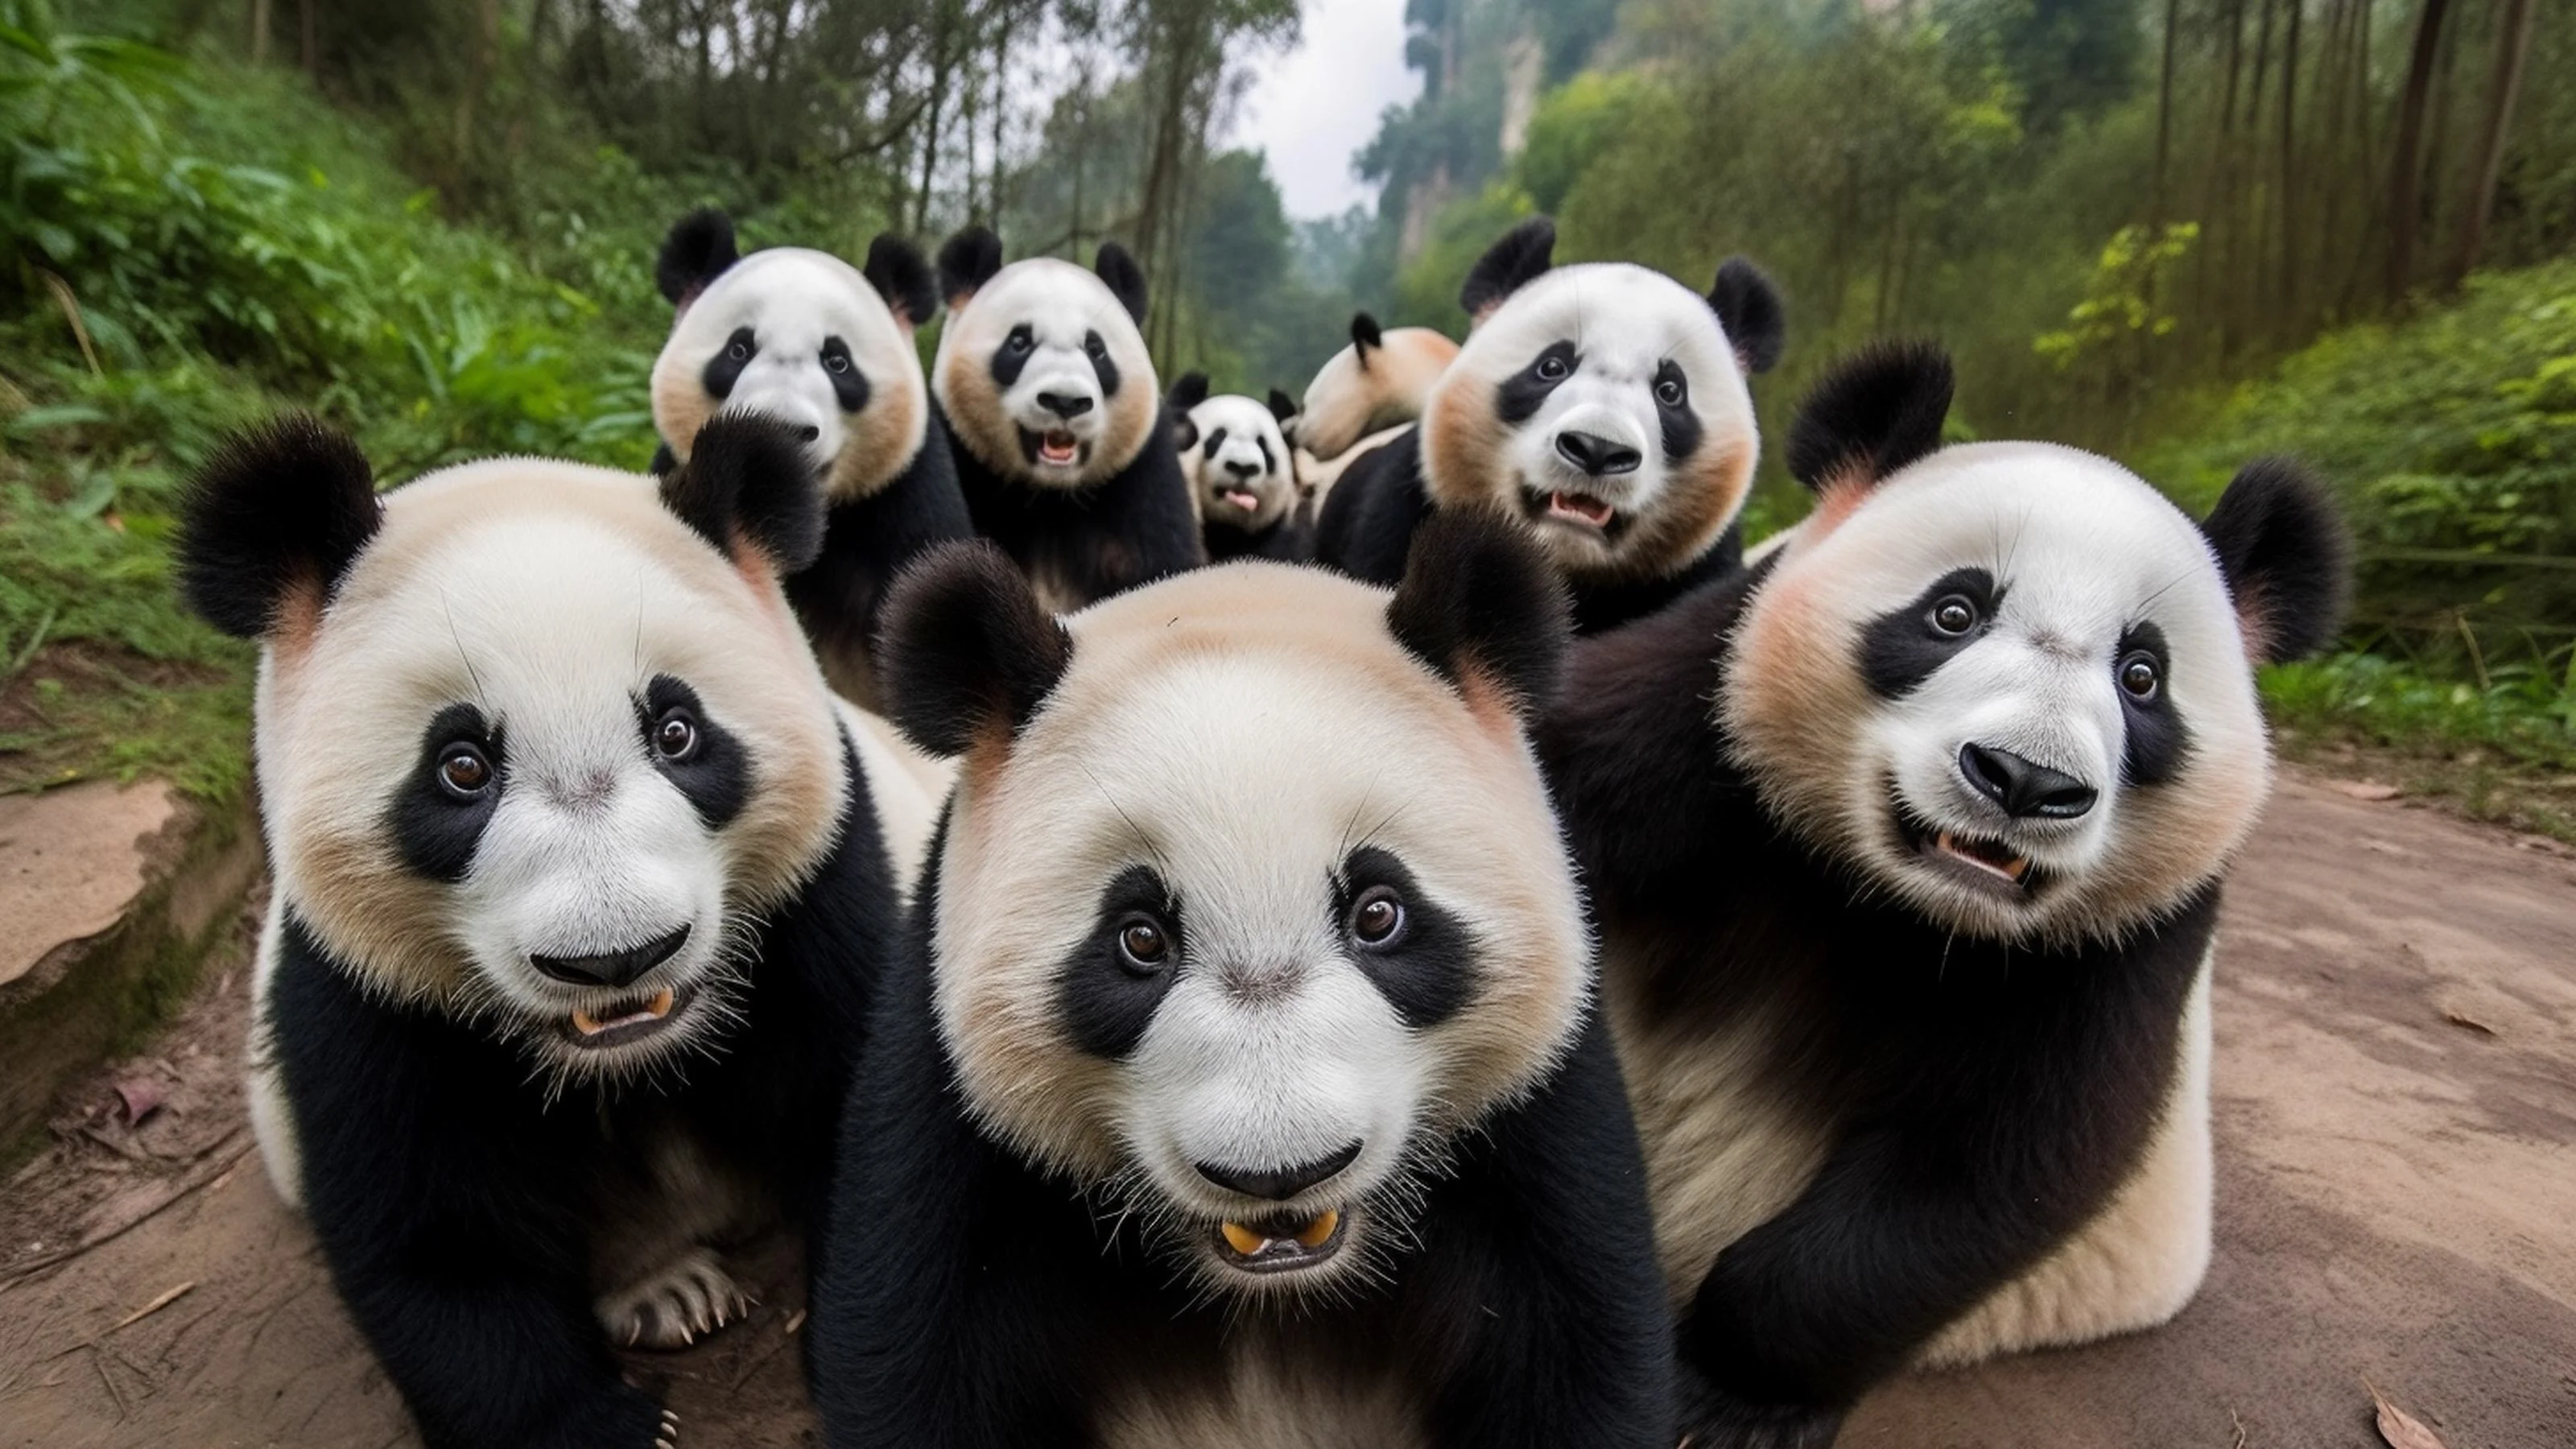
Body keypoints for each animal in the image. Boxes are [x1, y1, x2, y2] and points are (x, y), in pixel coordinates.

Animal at [181, 413, 942, 1449]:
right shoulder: (356, 980)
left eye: (676, 731)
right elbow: (436, 1232)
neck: (632, 1057)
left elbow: (875, 1145)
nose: (618, 957)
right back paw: (662, 1292)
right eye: (461, 767)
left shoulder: (822, 891)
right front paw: (598, 1427)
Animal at [808, 513, 1674, 1448]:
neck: (1275, 1285)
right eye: (1139, 939)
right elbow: (912, 1357)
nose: (1280, 1174)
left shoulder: (1538, 1123)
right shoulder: (956, 1133)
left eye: (1379, 914)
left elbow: (1581, 1344)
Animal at [930, 227, 1204, 612]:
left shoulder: (1144, 480)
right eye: (1019, 342)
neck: (1051, 497)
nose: (1065, 402)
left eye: (1096, 349)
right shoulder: (957, 460)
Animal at [1316, 218, 1785, 636]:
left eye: (1670, 391)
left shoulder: (1694, 573)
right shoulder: (1407, 517)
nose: (1597, 448)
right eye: (1552, 366)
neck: (1562, 565)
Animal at [1534, 343, 2350, 1448]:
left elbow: (1988, 1172)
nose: (2024, 781)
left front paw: (1728, 1401)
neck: (1889, 898)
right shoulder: (1698, 715)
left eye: (2141, 674)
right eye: (1952, 613)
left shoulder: (2124, 937)